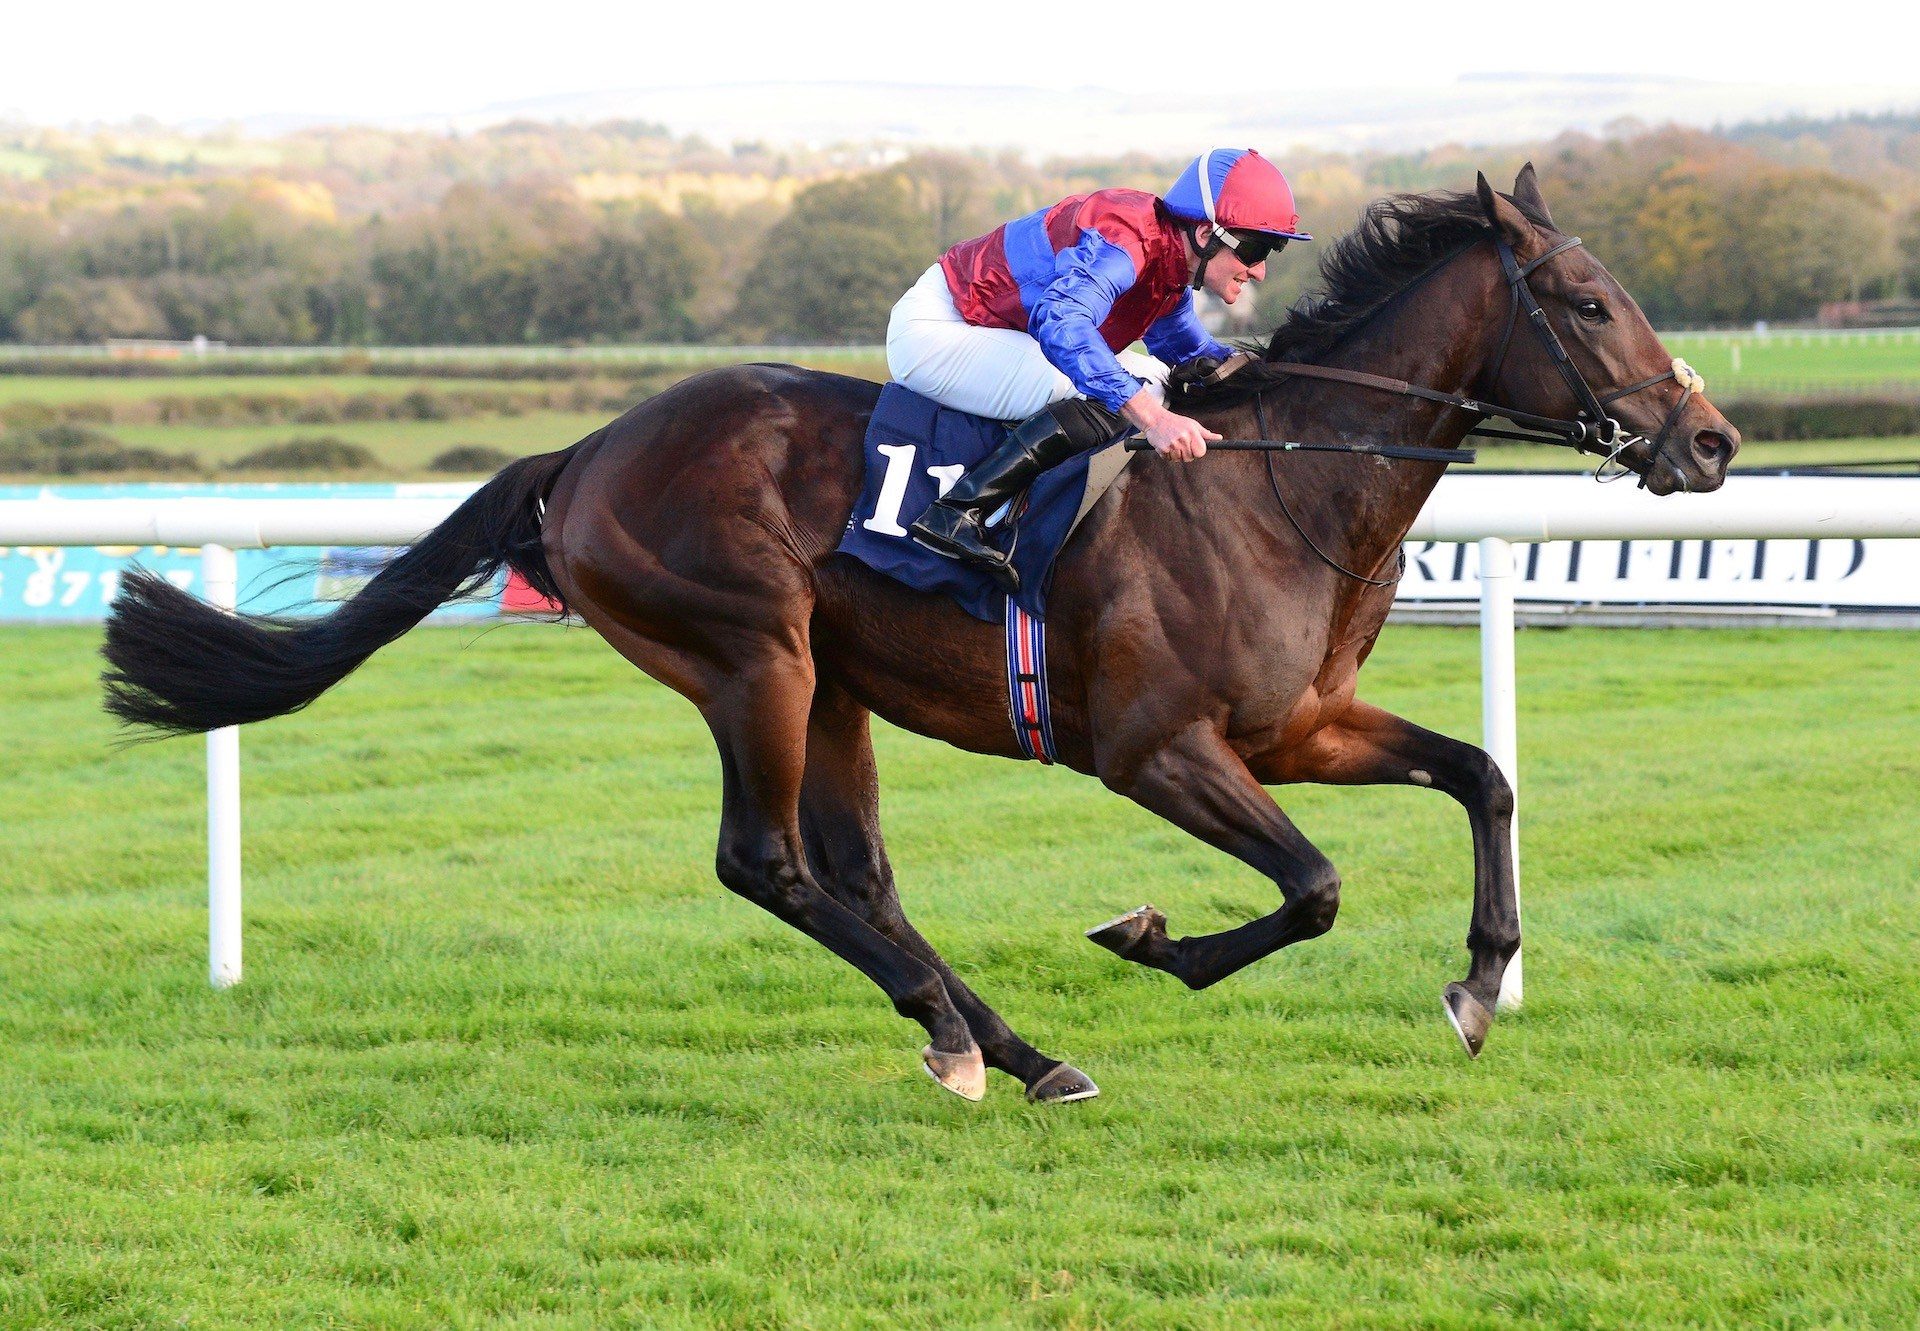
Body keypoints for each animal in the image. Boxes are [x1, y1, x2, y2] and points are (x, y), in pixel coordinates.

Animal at [101, 166, 1743, 1098]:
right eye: (1587, 300)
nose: (1714, 441)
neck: (1282, 488)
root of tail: (587, 449)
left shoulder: (1300, 726)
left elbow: (1481, 775)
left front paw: (1477, 981)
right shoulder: (1155, 748)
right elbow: (1318, 886)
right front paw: (1152, 937)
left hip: (833, 681)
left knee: (856, 873)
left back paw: (1001, 1044)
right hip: (749, 654)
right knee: (766, 862)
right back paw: (973, 1036)